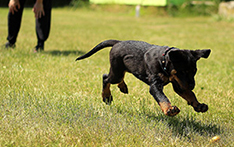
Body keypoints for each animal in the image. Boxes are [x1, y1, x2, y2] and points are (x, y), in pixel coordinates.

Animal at [76, 39, 211, 116]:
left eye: (194, 71)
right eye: (182, 71)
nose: (192, 85)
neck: (163, 61)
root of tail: (118, 42)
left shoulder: (179, 84)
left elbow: (190, 94)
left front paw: (199, 105)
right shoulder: (156, 85)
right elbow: (162, 98)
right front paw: (169, 109)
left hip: (122, 69)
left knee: (119, 77)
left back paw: (123, 87)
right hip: (116, 72)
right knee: (106, 78)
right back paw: (107, 96)